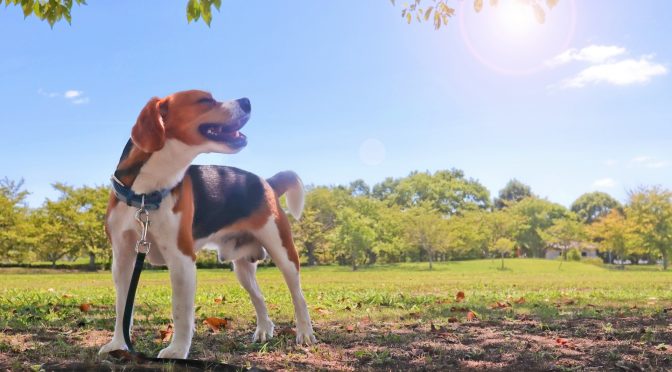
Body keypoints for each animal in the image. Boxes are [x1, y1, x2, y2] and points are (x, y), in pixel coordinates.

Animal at [98, 88, 316, 358]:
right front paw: (118, 344)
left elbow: (181, 312)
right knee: (259, 297)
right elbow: (122, 310)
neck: (145, 193)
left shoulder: (181, 259)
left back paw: (305, 333)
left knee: (298, 296)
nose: (247, 101)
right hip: (242, 269)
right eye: (204, 100)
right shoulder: (123, 260)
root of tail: (266, 182)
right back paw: (264, 330)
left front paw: (177, 351)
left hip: (284, 252)